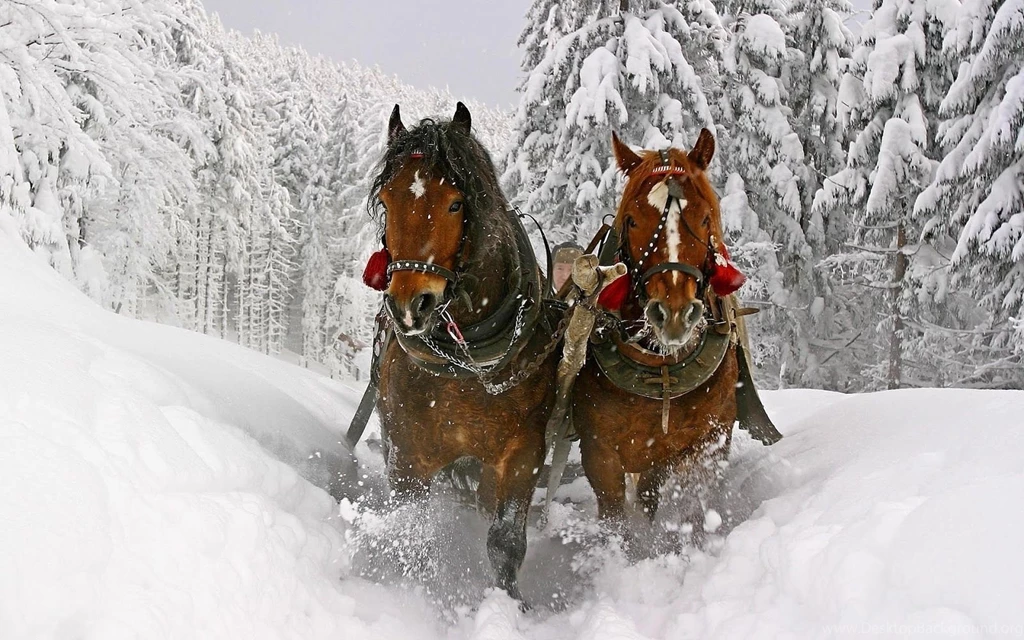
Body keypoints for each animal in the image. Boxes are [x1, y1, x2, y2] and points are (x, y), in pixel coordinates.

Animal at [366, 102, 561, 603]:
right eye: (387, 202)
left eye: (456, 203)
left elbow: (505, 542)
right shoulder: (407, 453)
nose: (409, 305)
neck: (466, 363)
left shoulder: (523, 453)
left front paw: (510, 605)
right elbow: (412, 532)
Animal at [572, 129, 771, 544]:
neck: (660, 367)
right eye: (632, 220)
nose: (675, 314)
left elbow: (687, 504)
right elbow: (614, 516)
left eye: (705, 215)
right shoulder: (599, 453)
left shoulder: (705, 443)